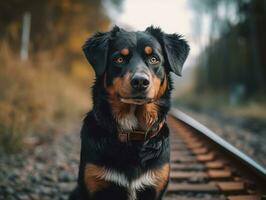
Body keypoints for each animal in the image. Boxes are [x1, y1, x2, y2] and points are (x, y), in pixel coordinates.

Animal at [68, 25, 189, 199]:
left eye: (154, 59)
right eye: (119, 59)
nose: (140, 81)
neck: (132, 133)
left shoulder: (156, 185)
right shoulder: (93, 183)